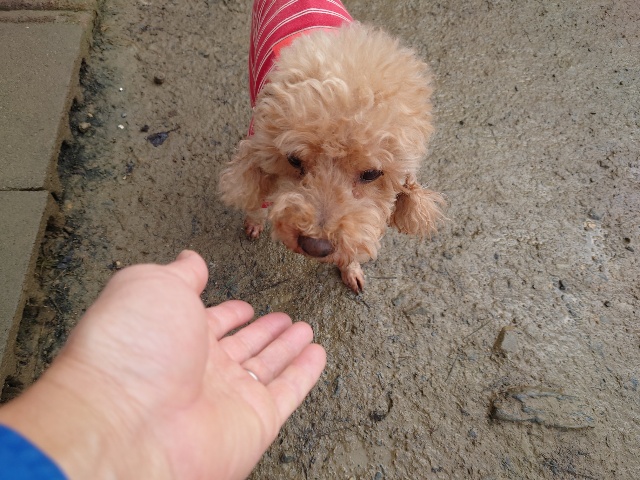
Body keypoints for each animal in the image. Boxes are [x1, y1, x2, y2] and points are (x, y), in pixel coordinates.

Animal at [220, 0, 445, 292]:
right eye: (294, 160)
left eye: (372, 174)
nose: (316, 246)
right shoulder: (258, 143)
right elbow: (255, 195)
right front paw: (254, 221)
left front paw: (351, 268)